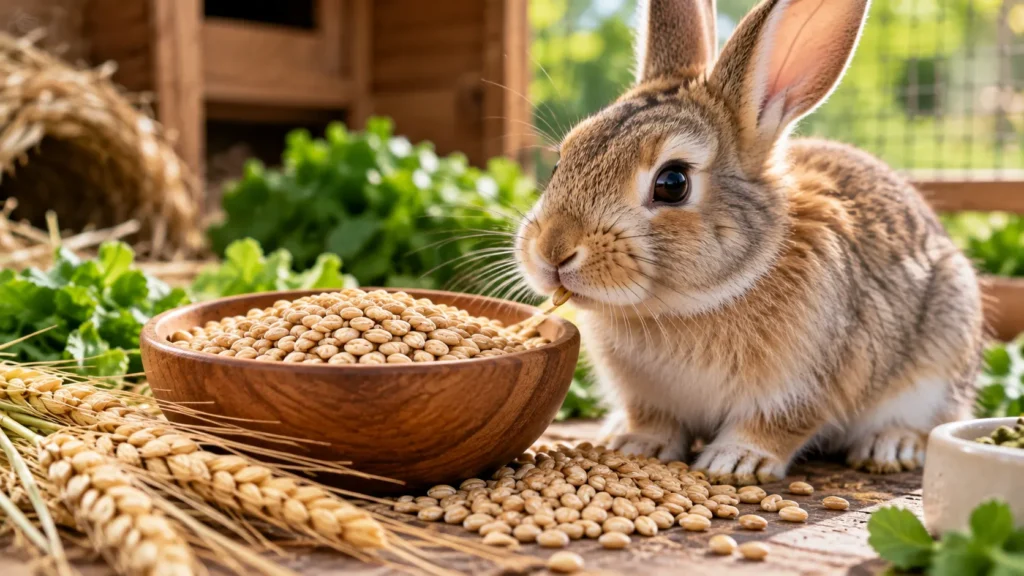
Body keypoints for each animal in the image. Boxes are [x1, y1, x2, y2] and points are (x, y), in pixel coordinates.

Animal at [514, 0, 984, 485]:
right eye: (561, 162)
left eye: (673, 183)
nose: (552, 250)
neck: (683, 306)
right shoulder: (647, 398)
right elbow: (654, 422)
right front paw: (637, 445)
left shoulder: (803, 386)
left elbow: (774, 426)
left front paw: (736, 461)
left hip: (941, 356)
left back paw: (890, 446)